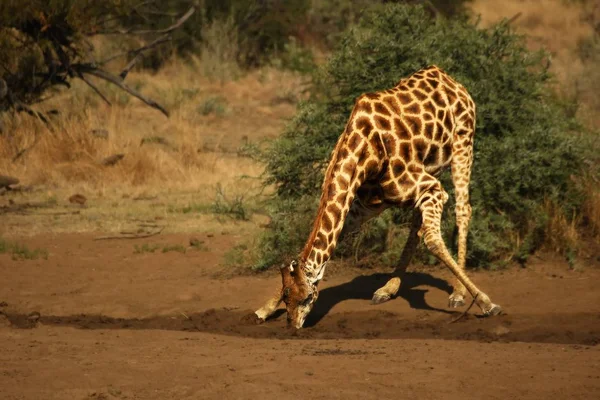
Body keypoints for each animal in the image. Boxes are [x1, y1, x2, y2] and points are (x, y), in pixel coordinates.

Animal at [253, 65, 502, 328]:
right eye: (287, 296)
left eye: (307, 298)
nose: (294, 326)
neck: (364, 151)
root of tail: (448, 77)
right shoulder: (367, 203)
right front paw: (263, 310)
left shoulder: (432, 188)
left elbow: (433, 240)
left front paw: (487, 303)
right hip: (430, 166)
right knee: (418, 223)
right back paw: (388, 289)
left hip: (463, 142)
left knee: (463, 210)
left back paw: (458, 294)